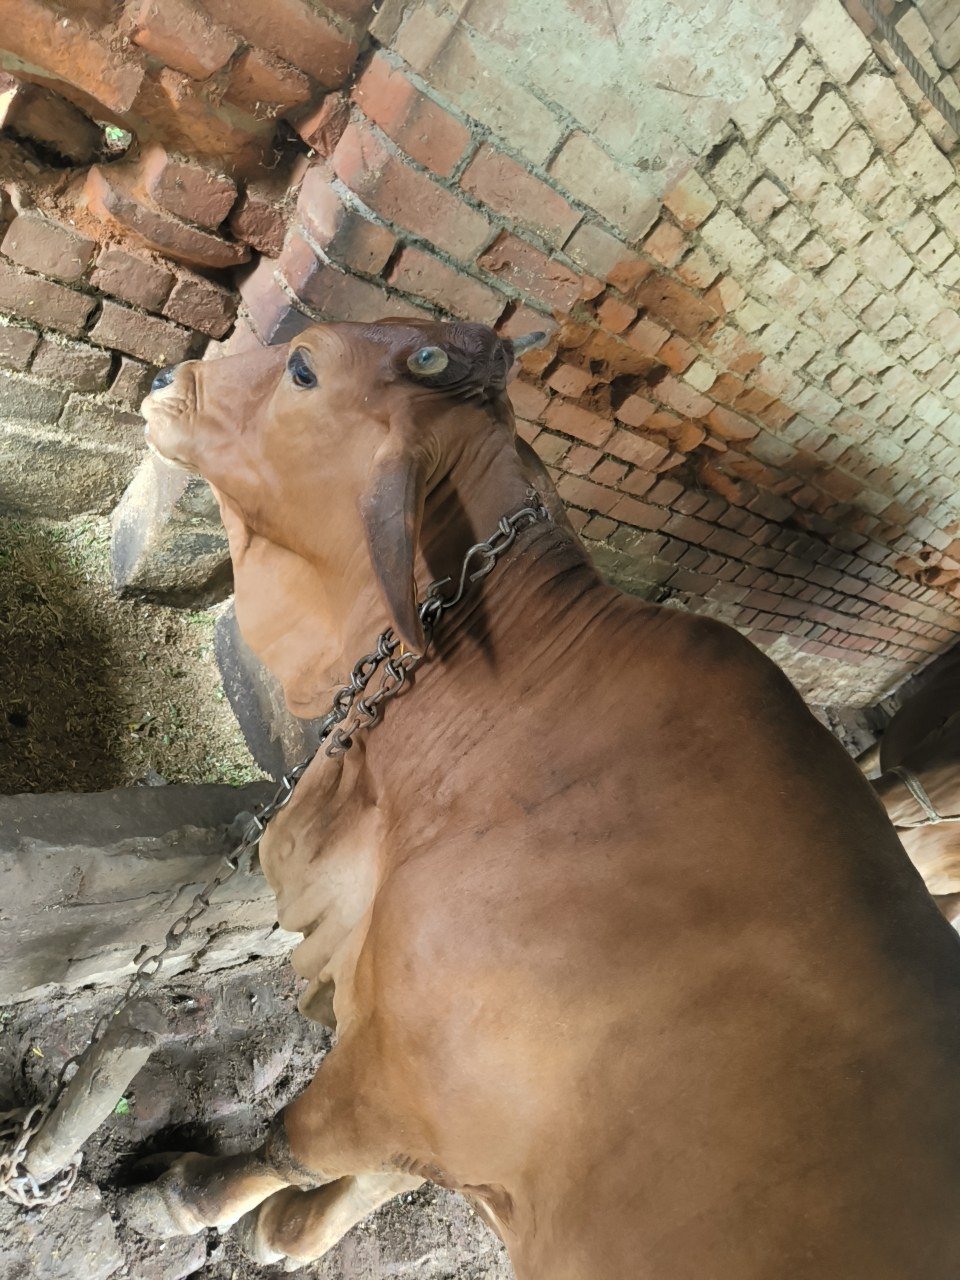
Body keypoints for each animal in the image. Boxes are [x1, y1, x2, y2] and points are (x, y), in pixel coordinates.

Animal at [129, 318, 960, 1278]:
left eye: (304, 366)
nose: (164, 376)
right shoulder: (461, 1121)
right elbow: (366, 1187)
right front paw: (284, 1226)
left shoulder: (398, 1071)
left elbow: (290, 1141)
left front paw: (187, 1193)